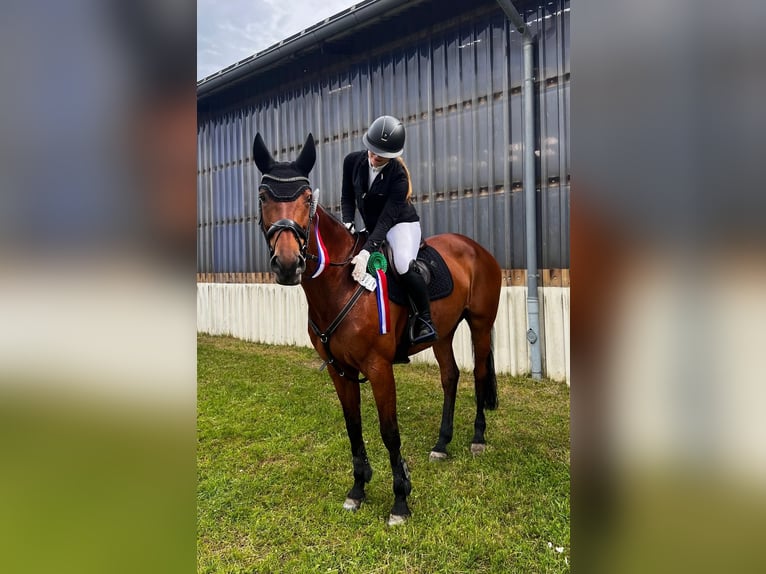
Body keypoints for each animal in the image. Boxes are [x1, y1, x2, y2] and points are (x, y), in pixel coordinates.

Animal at [252, 132, 502, 526]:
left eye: (307, 199)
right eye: (264, 197)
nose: (289, 265)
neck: (340, 285)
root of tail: (475, 247)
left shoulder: (379, 367)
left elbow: (389, 431)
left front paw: (400, 500)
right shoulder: (339, 370)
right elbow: (353, 426)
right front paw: (358, 489)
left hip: (480, 324)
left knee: (478, 373)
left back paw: (477, 439)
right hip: (443, 333)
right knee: (450, 376)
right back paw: (441, 444)